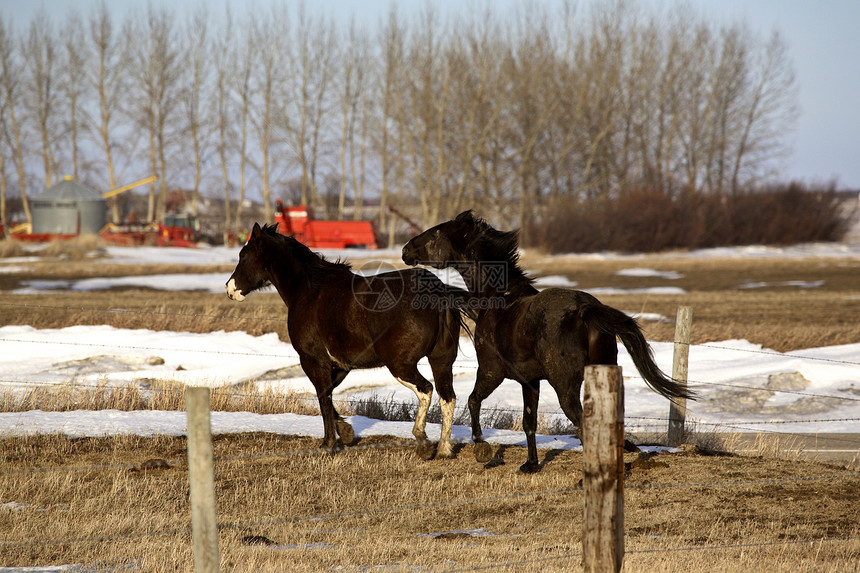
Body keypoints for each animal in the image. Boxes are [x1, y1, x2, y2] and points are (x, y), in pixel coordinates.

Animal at [228, 221, 470, 458]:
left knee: (426, 389)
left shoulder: (312, 360)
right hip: (441, 361)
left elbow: (323, 397)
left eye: (243, 254)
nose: (229, 289)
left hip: (400, 365)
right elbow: (329, 394)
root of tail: (437, 292)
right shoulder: (342, 365)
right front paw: (345, 432)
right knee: (447, 397)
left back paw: (422, 441)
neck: (309, 291)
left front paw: (328, 444)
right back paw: (444, 449)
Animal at [400, 209, 696, 470]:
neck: (498, 300)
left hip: (565, 386)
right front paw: (530, 465)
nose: (405, 251)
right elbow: (528, 422)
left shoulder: (491, 371)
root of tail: (586, 310)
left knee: (583, 424)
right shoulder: (530, 381)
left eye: (436, 233)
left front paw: (482, 449)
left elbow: (473, 400)